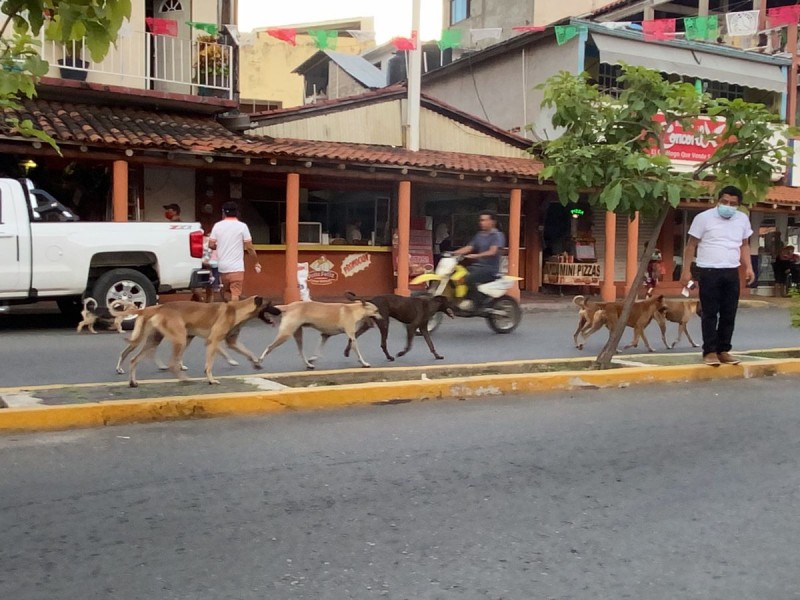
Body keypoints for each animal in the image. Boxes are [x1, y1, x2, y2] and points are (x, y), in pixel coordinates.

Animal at [109, 298, 278, 386]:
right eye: (269, 304)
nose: (280, 310)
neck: (237, 311)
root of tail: (159, 308)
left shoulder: (231, 343)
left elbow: (248, 352)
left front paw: (256, 363)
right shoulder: (213, 341)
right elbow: (210, 365)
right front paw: (210, 379)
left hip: (155, 340)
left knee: (134, 359)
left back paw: (133, 381)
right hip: (179, 339)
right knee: (171, 363)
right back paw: (183, 378)